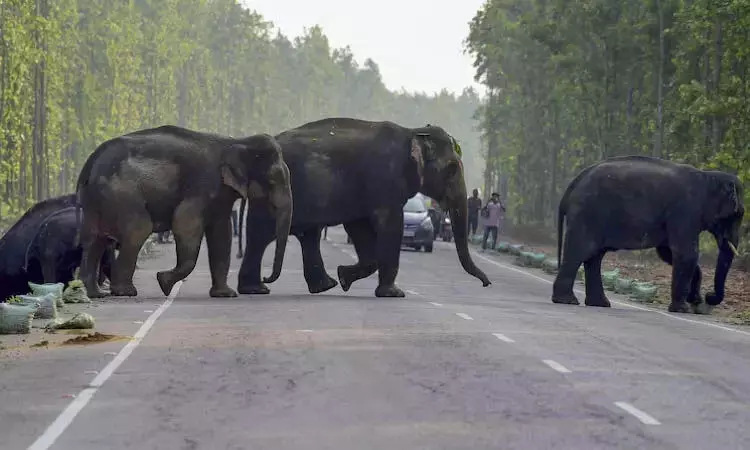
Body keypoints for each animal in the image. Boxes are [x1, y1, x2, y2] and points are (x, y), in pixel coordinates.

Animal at [75, 125, 294, 298]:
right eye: (273, 180)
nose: (266, 278)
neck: (236, 142)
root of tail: (90, 163)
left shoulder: (220, 194)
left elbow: (221, 232)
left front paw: (226, 294)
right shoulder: (202, 184)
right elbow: (185, 223)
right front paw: (163, 282)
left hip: (97, 201)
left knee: (95, 240)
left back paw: (96, 294)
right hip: (122, 194)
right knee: (138, 230)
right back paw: (125, 292)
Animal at [236, 118, 494, 298]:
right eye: (451, 169)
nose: (487, 283)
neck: (413, 132)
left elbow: (359, 227)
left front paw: (344, 277)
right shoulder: (384, 180)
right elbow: (391, 225)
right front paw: (393, 294)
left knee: (303, 235)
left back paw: (322, 286)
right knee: (264, 234)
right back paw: (259, 289)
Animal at [552, 156, 748, 314]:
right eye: (737, 214)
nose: (708, 296)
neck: (708, 177)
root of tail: (573, 184)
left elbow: (668, 253)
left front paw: (695, 302)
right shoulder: (685, 210)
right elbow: (686, 253)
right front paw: (683, 309)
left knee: (594, 257)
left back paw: (599, 304)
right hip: (587, 213)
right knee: (580, 251)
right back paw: (567, 301)